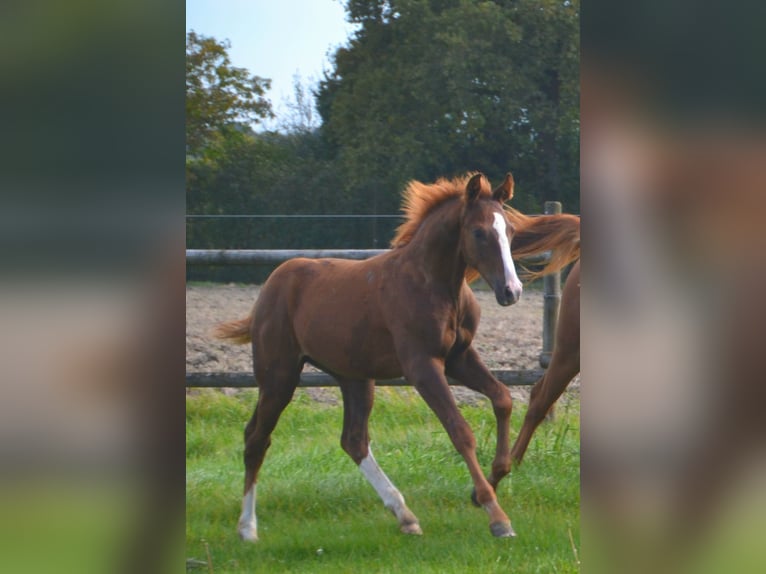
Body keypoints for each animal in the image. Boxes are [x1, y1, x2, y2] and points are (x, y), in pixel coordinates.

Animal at [213, 173, 580, 544]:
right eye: (479, 232)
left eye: (511, 231)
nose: (511, 291)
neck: (432, 284)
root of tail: (274, 282)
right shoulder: (422, 365)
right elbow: (459, 430)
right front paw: (497, 516)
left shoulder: (459, 358)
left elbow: (503, 398)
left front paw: (495, 477)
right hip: (279, 376)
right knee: (256, 437)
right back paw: (247, 528)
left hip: (355, 378)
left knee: (354, 440)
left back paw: (405, 516)